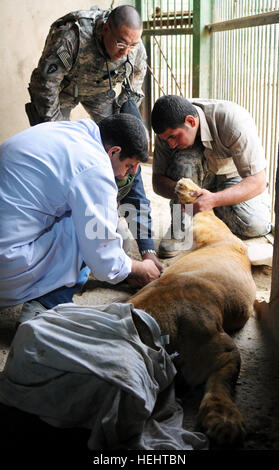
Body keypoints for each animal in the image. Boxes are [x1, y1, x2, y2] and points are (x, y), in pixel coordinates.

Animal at [128, 178, 258, 446]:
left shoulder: (225, 351)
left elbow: (220, 384)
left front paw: (224, 421)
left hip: (208, 227)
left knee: (205, 210)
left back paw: (190, 189)